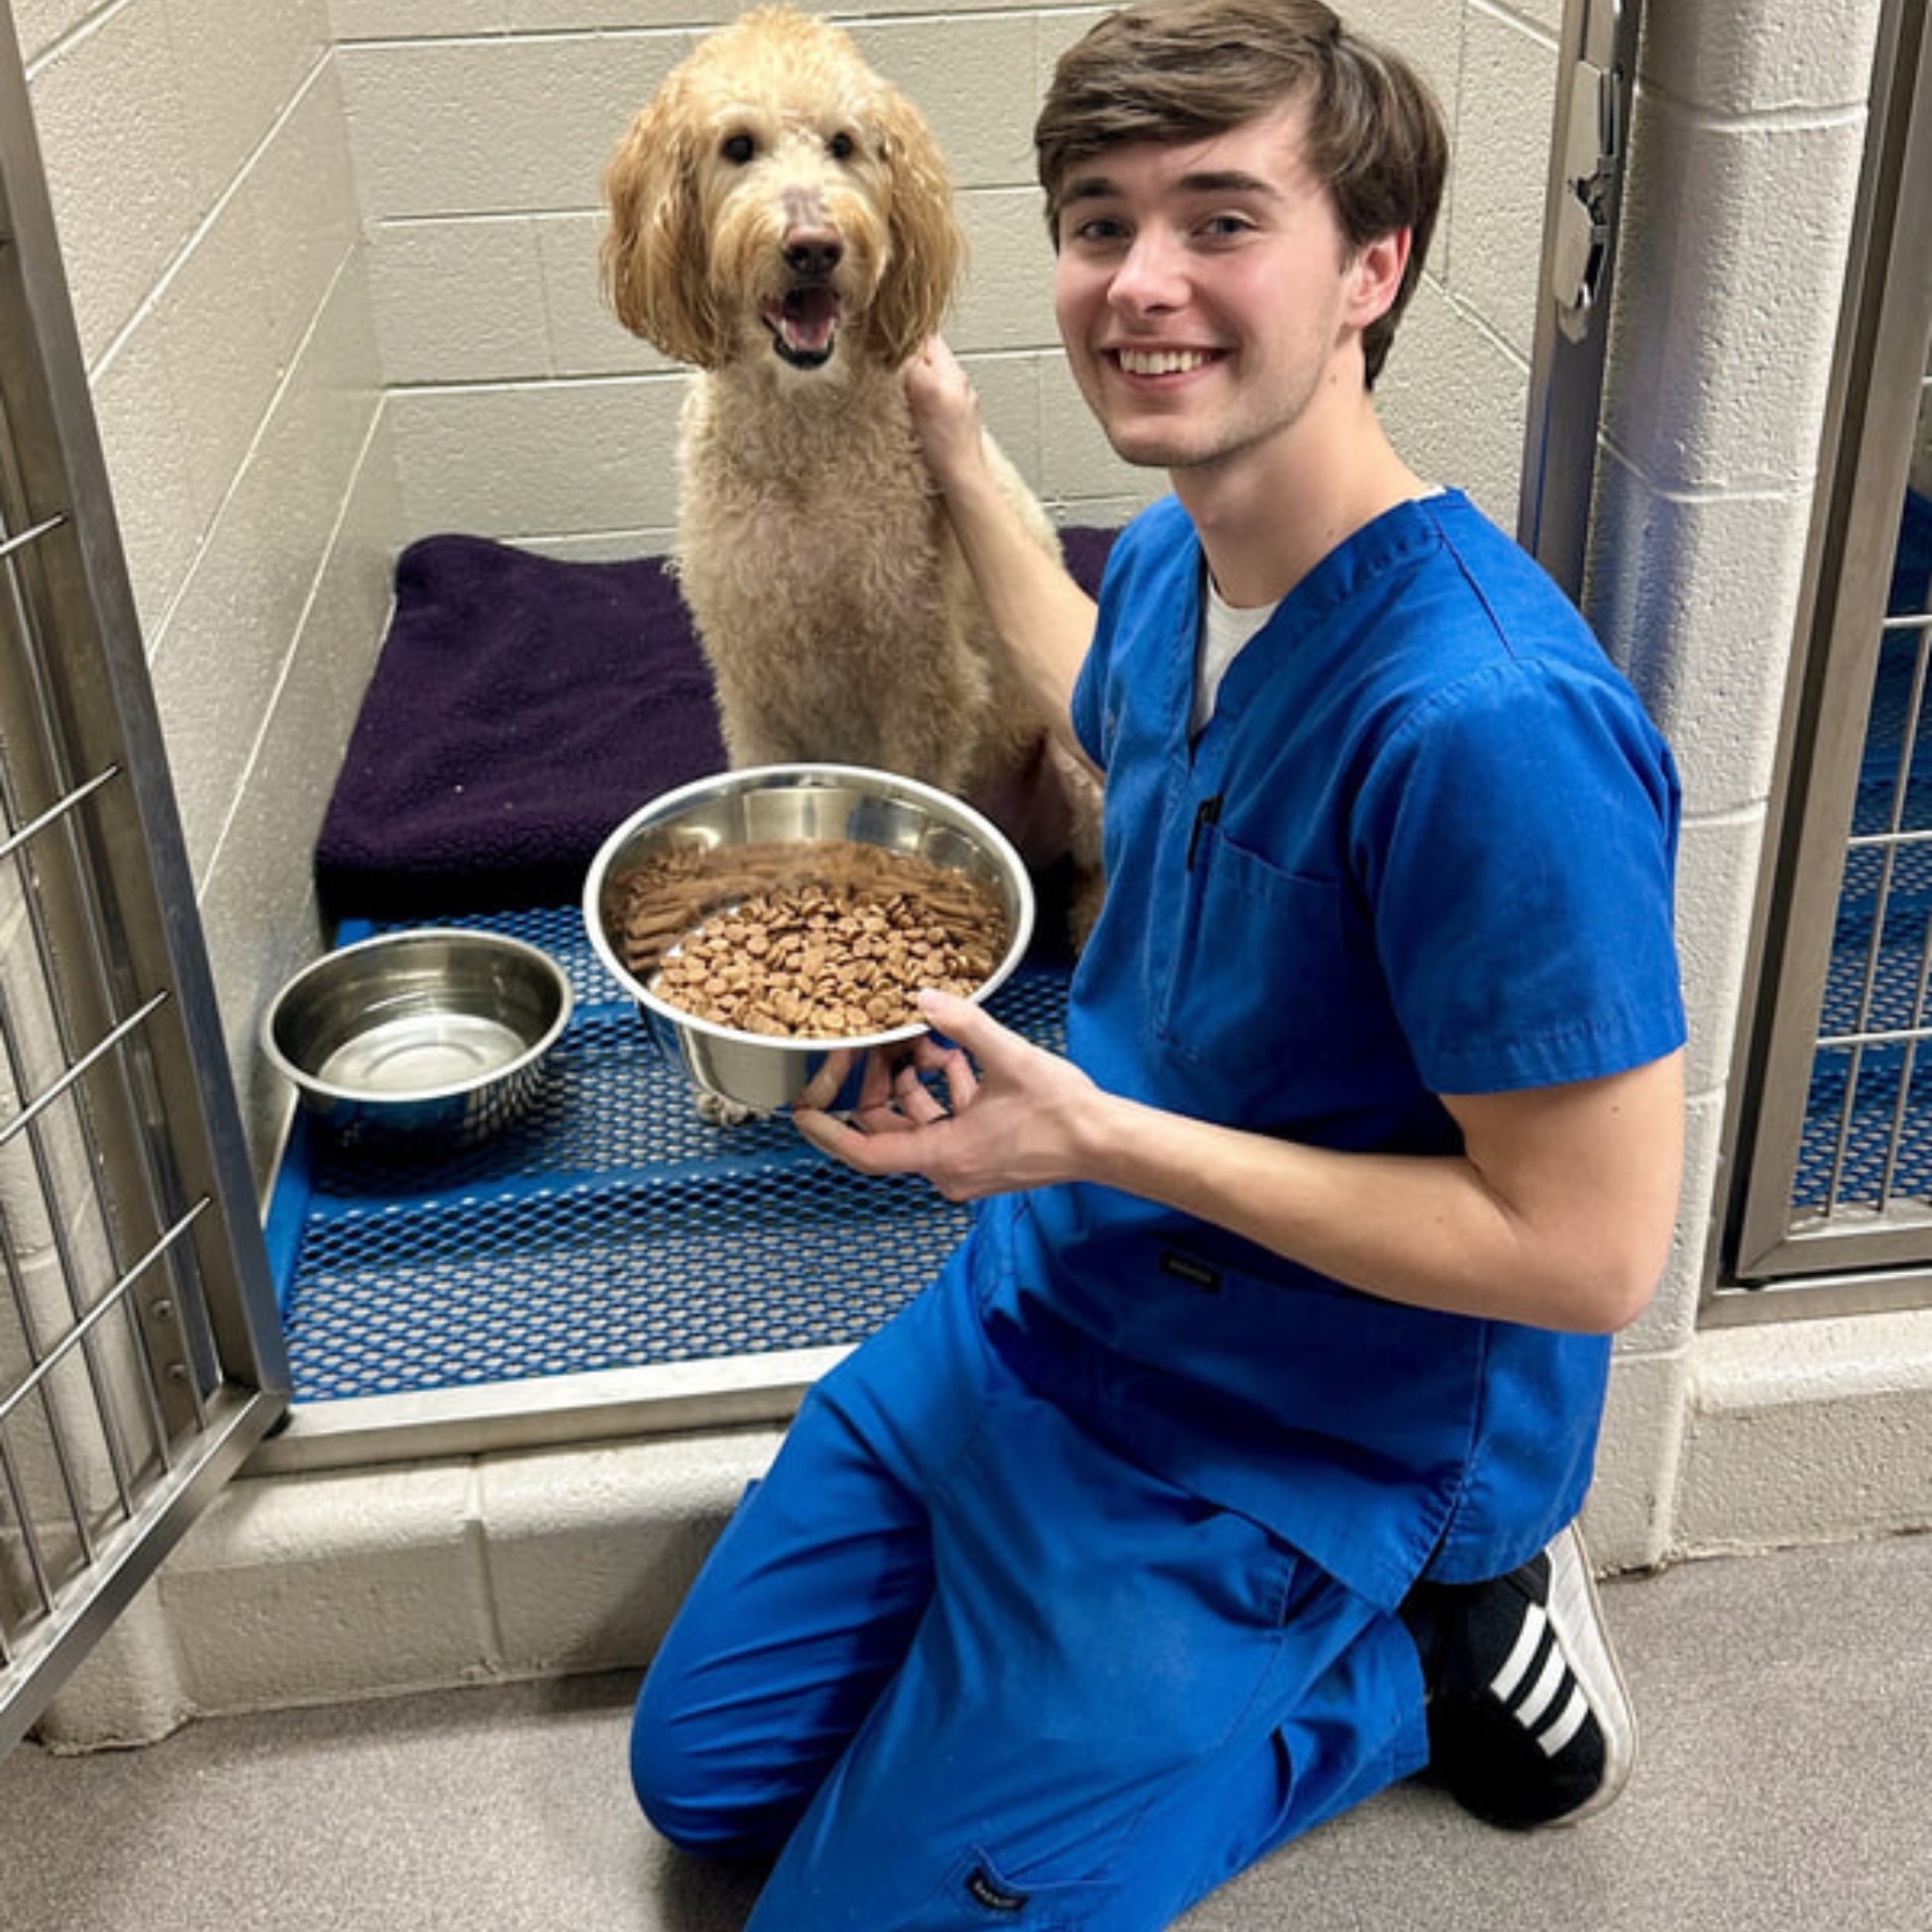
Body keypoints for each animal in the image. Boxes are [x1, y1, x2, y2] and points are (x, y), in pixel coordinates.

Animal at [598, 7, 1105, 942]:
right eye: (738, 146)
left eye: (843, 144)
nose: (812, 247)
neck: (804, 441)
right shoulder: (752, 678)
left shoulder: (924, 679)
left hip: (1077, 759)